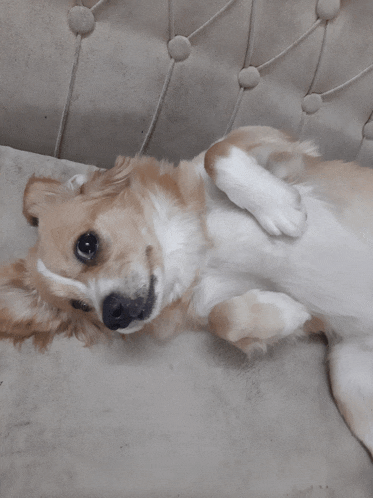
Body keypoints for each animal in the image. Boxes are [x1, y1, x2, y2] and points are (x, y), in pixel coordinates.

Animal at [0, 126, 372, 458]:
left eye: (86, 245)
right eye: (80, 306)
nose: (113, 315)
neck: (200, 252)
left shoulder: (276, 144)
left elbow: (217, 153)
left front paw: (281, 208)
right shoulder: (213, 300)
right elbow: (226, 319)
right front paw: (288, 311)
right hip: (350, 382)